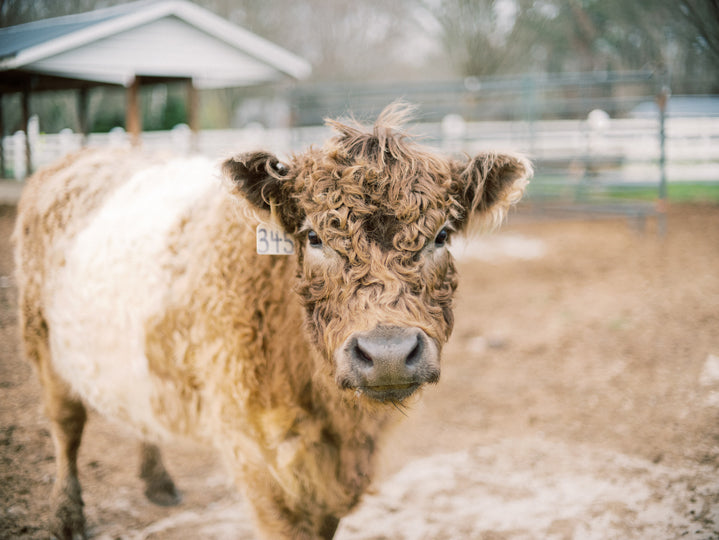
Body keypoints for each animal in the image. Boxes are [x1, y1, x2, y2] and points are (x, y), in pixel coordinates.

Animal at [13, 103, 531, 539]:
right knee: (66, 426)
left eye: (441, 235)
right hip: (42, 343)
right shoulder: (255, 459)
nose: (387, 353)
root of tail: (78, 158)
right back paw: (66, 516)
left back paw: (157, 481)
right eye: (314, 237)